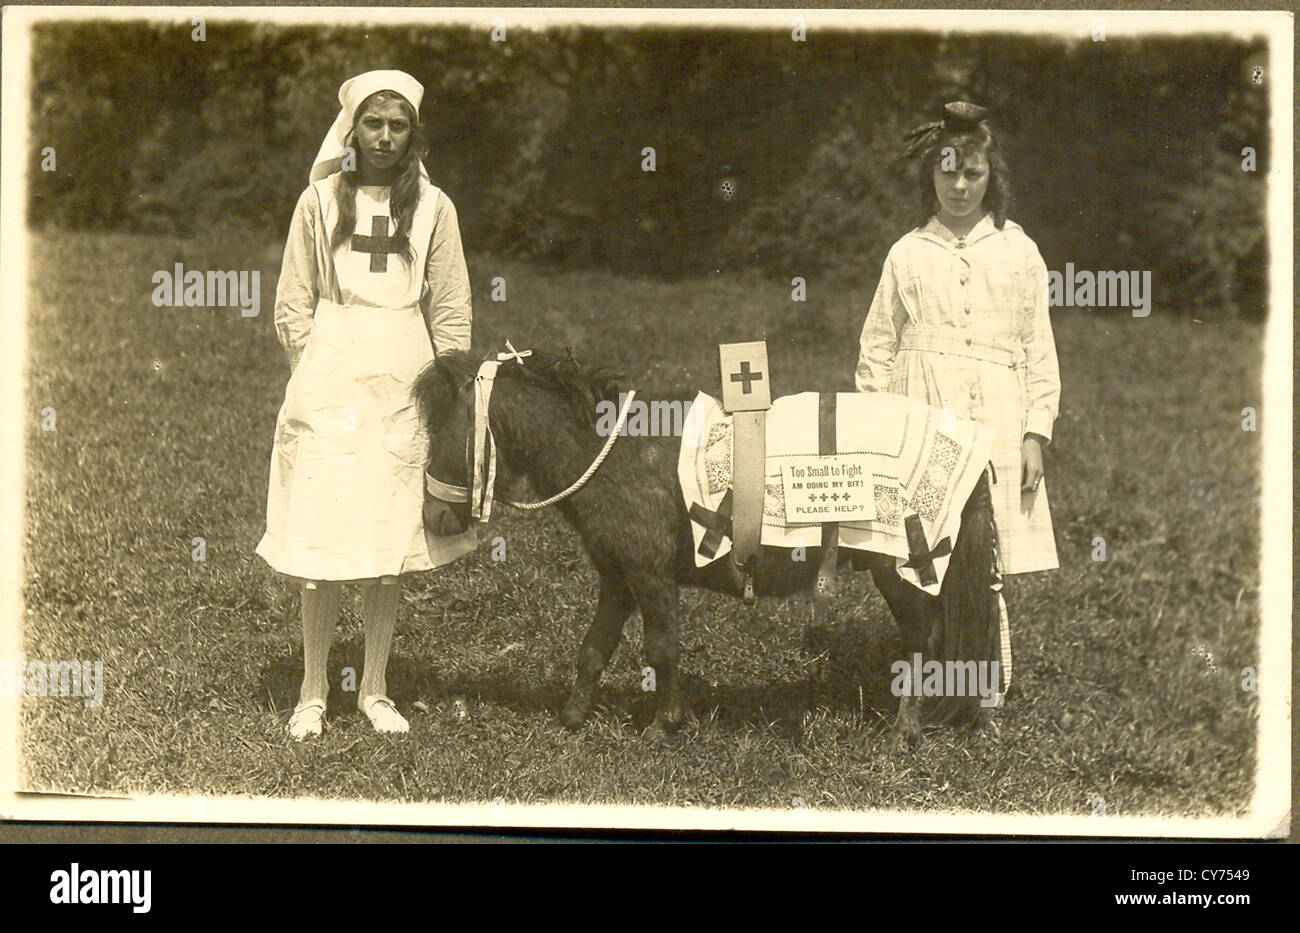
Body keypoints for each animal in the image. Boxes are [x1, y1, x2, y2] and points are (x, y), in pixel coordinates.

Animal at [410, 350, 998, 753]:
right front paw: (572, 719)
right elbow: (593, 650)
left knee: (922, 641)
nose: (433, 518)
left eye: (443, 429)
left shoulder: (650, 577)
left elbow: (660, 652)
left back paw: (903, 732)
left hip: (902, 570)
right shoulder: (617, 579)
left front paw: (660, 726)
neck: (614, 455)